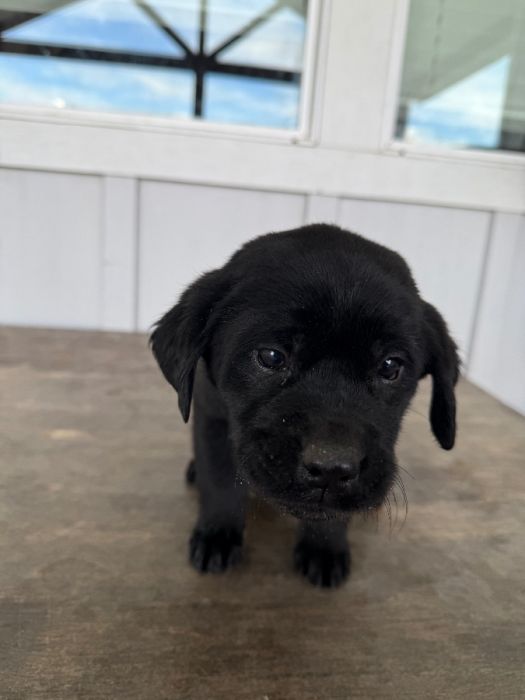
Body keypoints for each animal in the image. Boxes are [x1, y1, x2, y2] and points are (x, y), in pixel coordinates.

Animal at [149, 224, 456, 584]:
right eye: (270, 357)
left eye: (390, 367)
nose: (331, 468)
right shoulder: (213, 416)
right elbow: (220, 478)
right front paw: (217, 535)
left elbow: (330, 516)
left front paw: (324, 546)